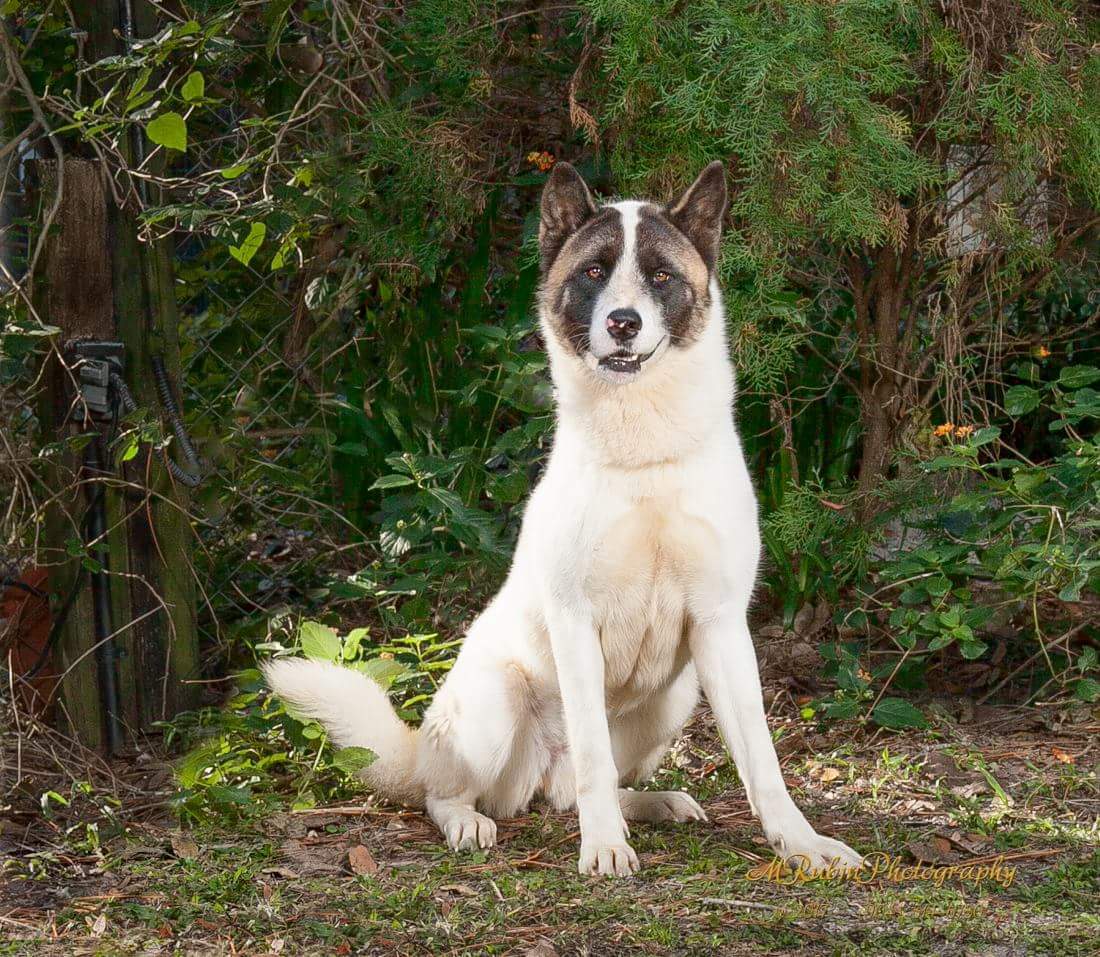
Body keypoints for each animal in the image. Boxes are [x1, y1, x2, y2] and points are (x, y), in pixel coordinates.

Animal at [261, 160, 862, 880]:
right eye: (594, 271)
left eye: (661, 276)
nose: (624, 323)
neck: (643, 453)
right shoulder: (576, 623)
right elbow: (594, 758)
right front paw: (604, 849)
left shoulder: (721, 626)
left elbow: (762, 760)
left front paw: (800, 842)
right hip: (496, 705)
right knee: (454, 791)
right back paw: (471, 821)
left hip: (677, 695)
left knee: (567, 791)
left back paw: (651, 802)